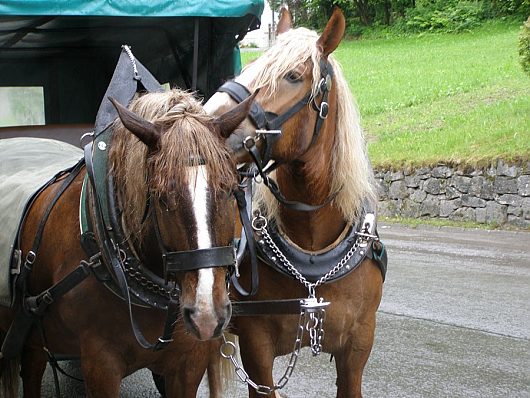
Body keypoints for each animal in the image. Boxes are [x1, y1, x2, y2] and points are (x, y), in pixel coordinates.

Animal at [205, 7, 384, 398]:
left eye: (292, 76)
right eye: (248, 68)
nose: (204, 123)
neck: (313, 254)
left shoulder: (358, 346)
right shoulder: (256, 346)